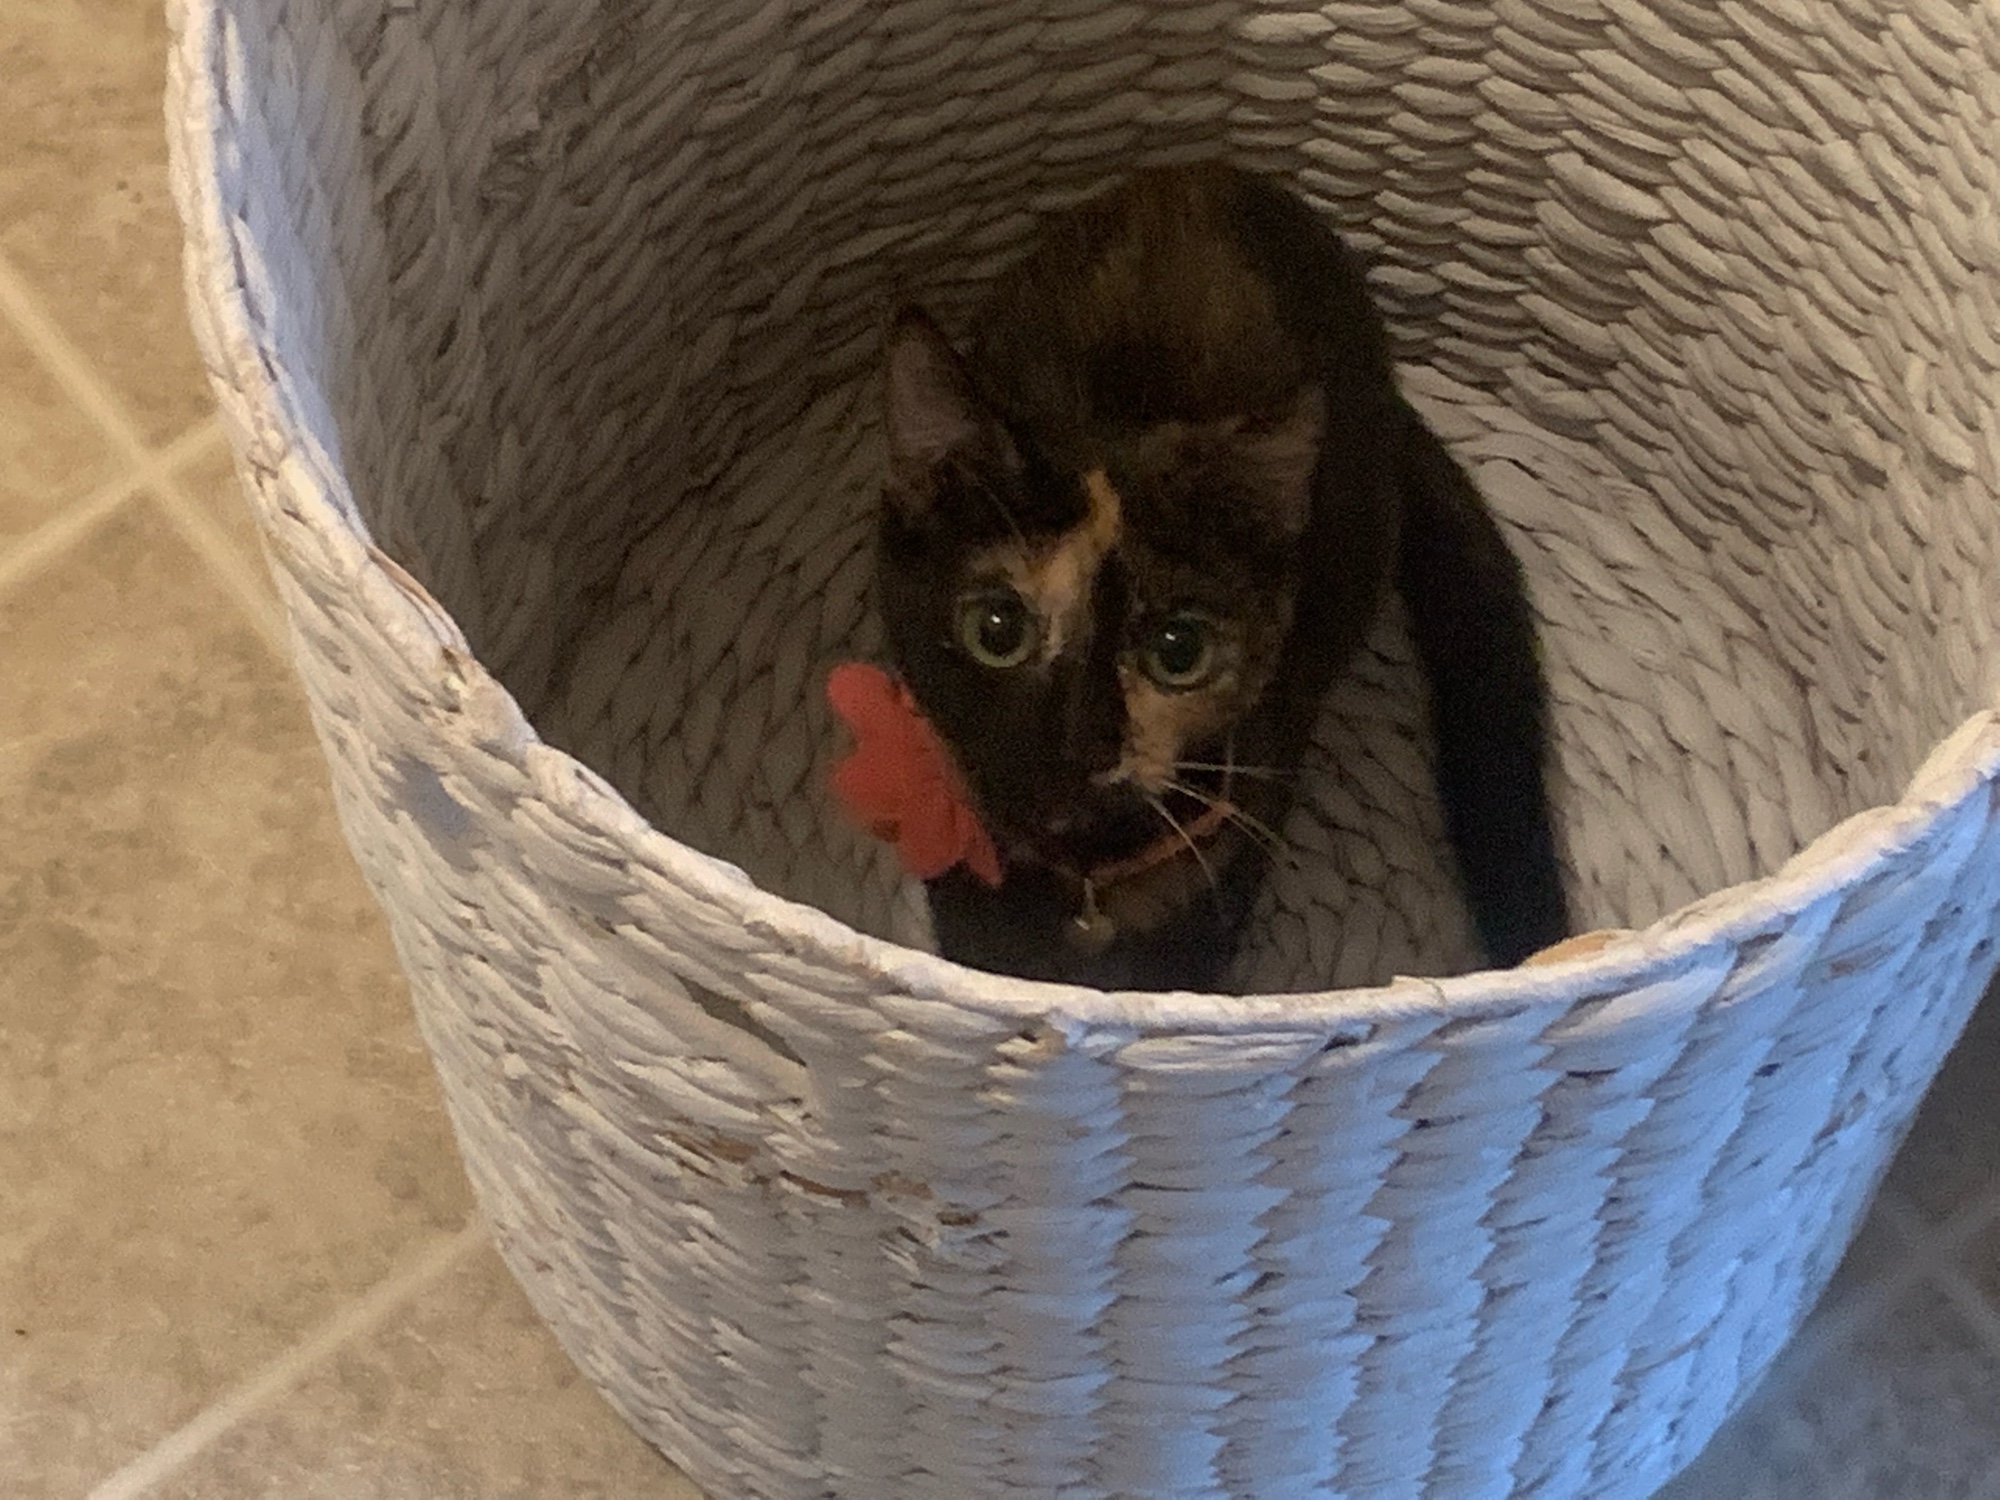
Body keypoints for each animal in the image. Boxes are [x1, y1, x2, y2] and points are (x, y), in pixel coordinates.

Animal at [873, 161, 1568, 990]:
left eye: (1180, 651)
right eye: (996, 629)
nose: (1084, 745)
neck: (1083, 874)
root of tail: (1212, 173)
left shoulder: (1233, 845)